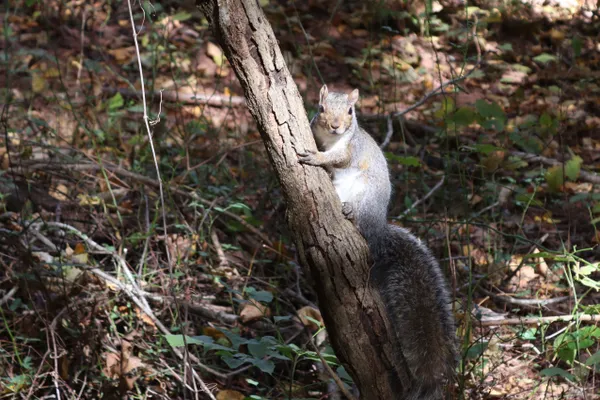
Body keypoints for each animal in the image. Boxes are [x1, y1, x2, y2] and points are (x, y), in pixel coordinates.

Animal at [298, 86, 458, 398]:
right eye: (321, 108)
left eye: (350, 111)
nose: (335, 126)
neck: (331, 140)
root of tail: (377, 231)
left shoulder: (351, 149)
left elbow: (338, 159)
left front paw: (318, 158)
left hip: (365, 198)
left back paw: (350, 212)